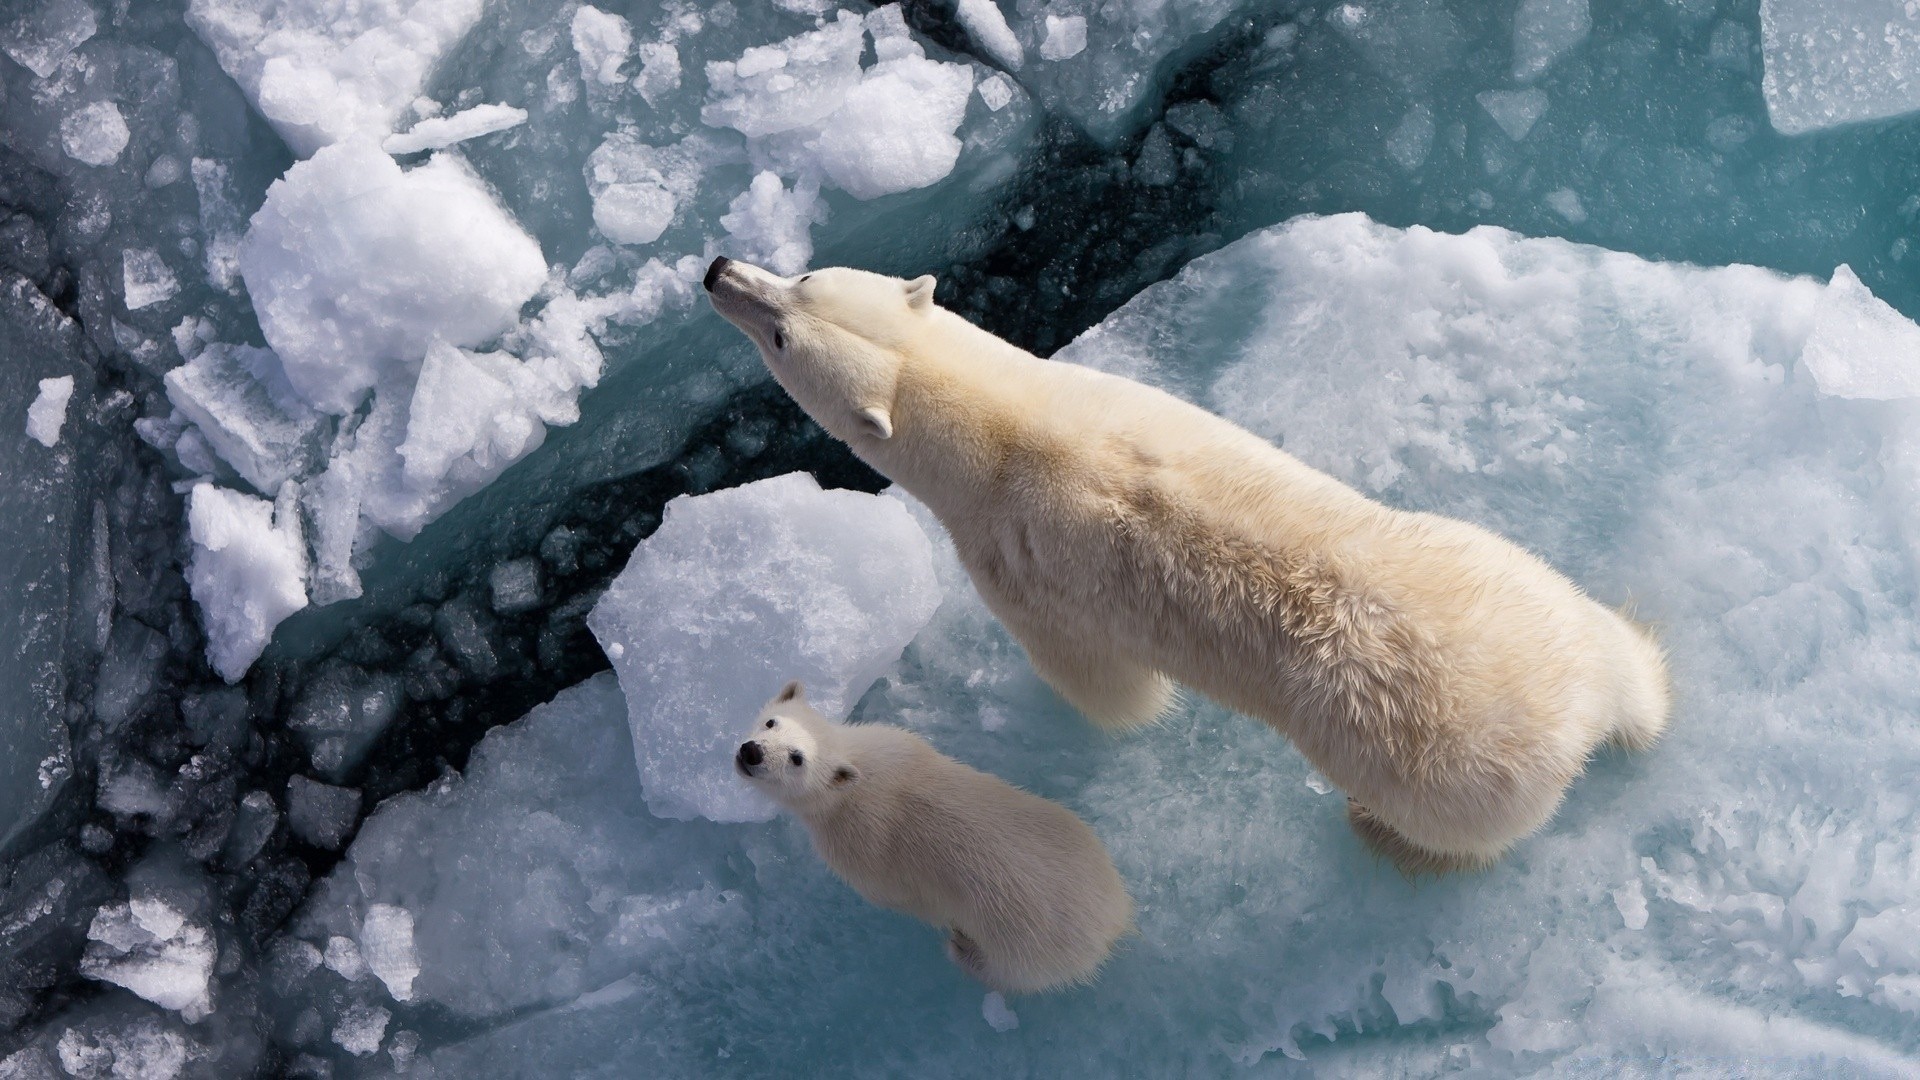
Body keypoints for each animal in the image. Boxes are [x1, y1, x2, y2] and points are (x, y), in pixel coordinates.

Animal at [706, 255, 1666, 868]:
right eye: (803, 282)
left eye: (785, 327)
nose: (718, 270)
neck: (1007, 428)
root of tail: (1574, 715)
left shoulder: (1015, 563)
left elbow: (1101, 684)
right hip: (1510, 575)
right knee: (1614, 645)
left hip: (1438, 770)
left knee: (1452, 829)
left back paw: (1379, 832)